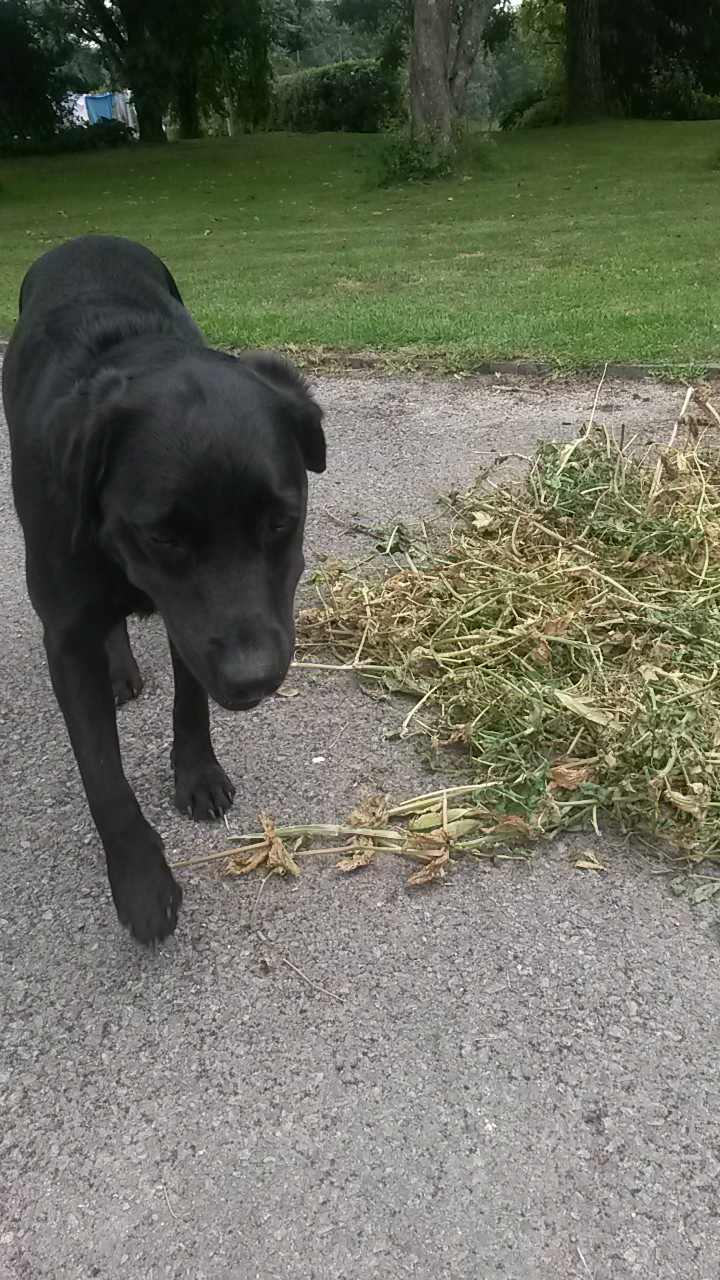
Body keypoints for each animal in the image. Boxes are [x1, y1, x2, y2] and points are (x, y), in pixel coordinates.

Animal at [2, 235, 325, 944]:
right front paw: (142, 882)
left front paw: (197, 773)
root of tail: (85, 236)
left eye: (281, 520)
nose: (255, 679)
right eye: (162, 536)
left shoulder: (194, 626)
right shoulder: (67, 635)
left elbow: (191, 701)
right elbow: (103, 776)